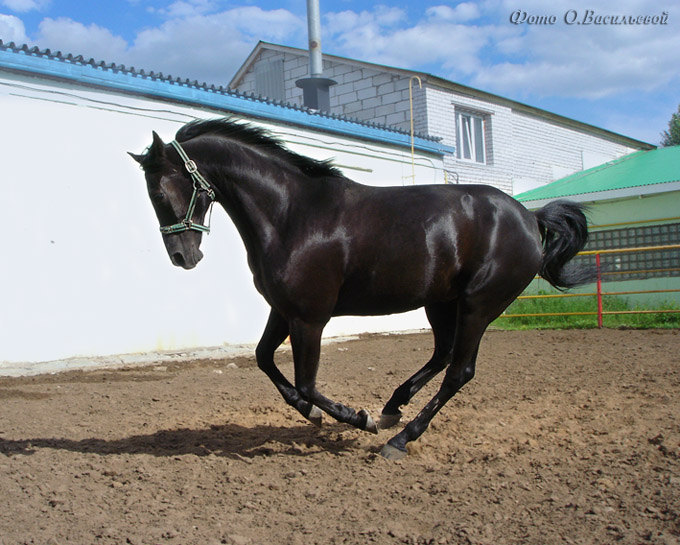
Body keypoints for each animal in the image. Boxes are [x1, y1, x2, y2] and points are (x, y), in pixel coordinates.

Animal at [129, 118, 588, 460]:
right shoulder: (284, 311)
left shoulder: (310, 317)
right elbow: (263, 359)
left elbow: (307, 382)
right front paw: (315, 415)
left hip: (478, 305)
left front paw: (354, 417)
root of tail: (529, 218)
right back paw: (392, 409)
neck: (291, 214)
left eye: (161, 192)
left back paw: (398, 438)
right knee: (442, 356)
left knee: (459, 371)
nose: (183, 257)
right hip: (442, 302)